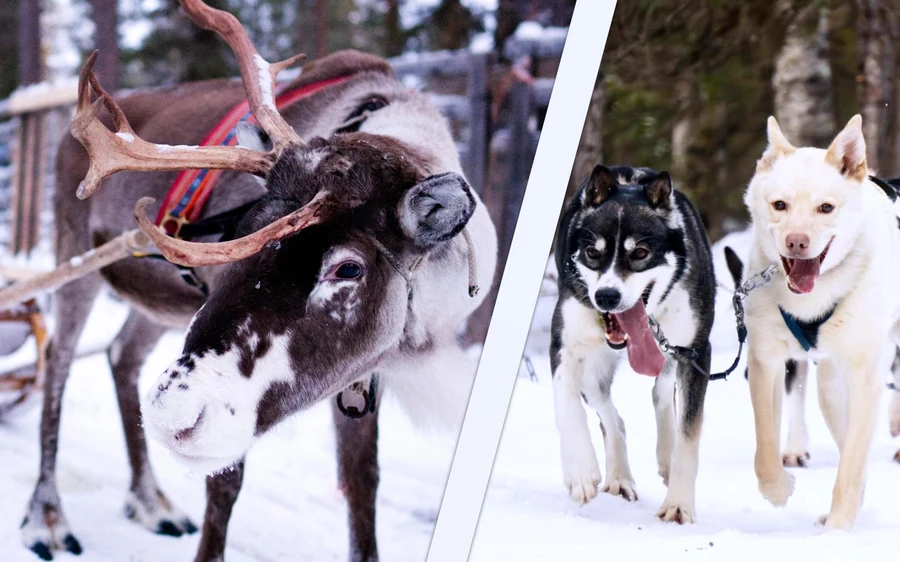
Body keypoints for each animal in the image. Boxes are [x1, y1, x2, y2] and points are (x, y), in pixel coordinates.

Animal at [18, 1, 497, 560]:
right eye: (241, 230)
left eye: (348, 267)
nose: (173, 415)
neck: (424, 337)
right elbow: (225, 482)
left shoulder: (361, 369)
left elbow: (362, 482)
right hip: (76, 255)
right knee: (57, 363)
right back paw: (47, 518)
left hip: (161, 303)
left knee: (121, 356)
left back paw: (151, 501)